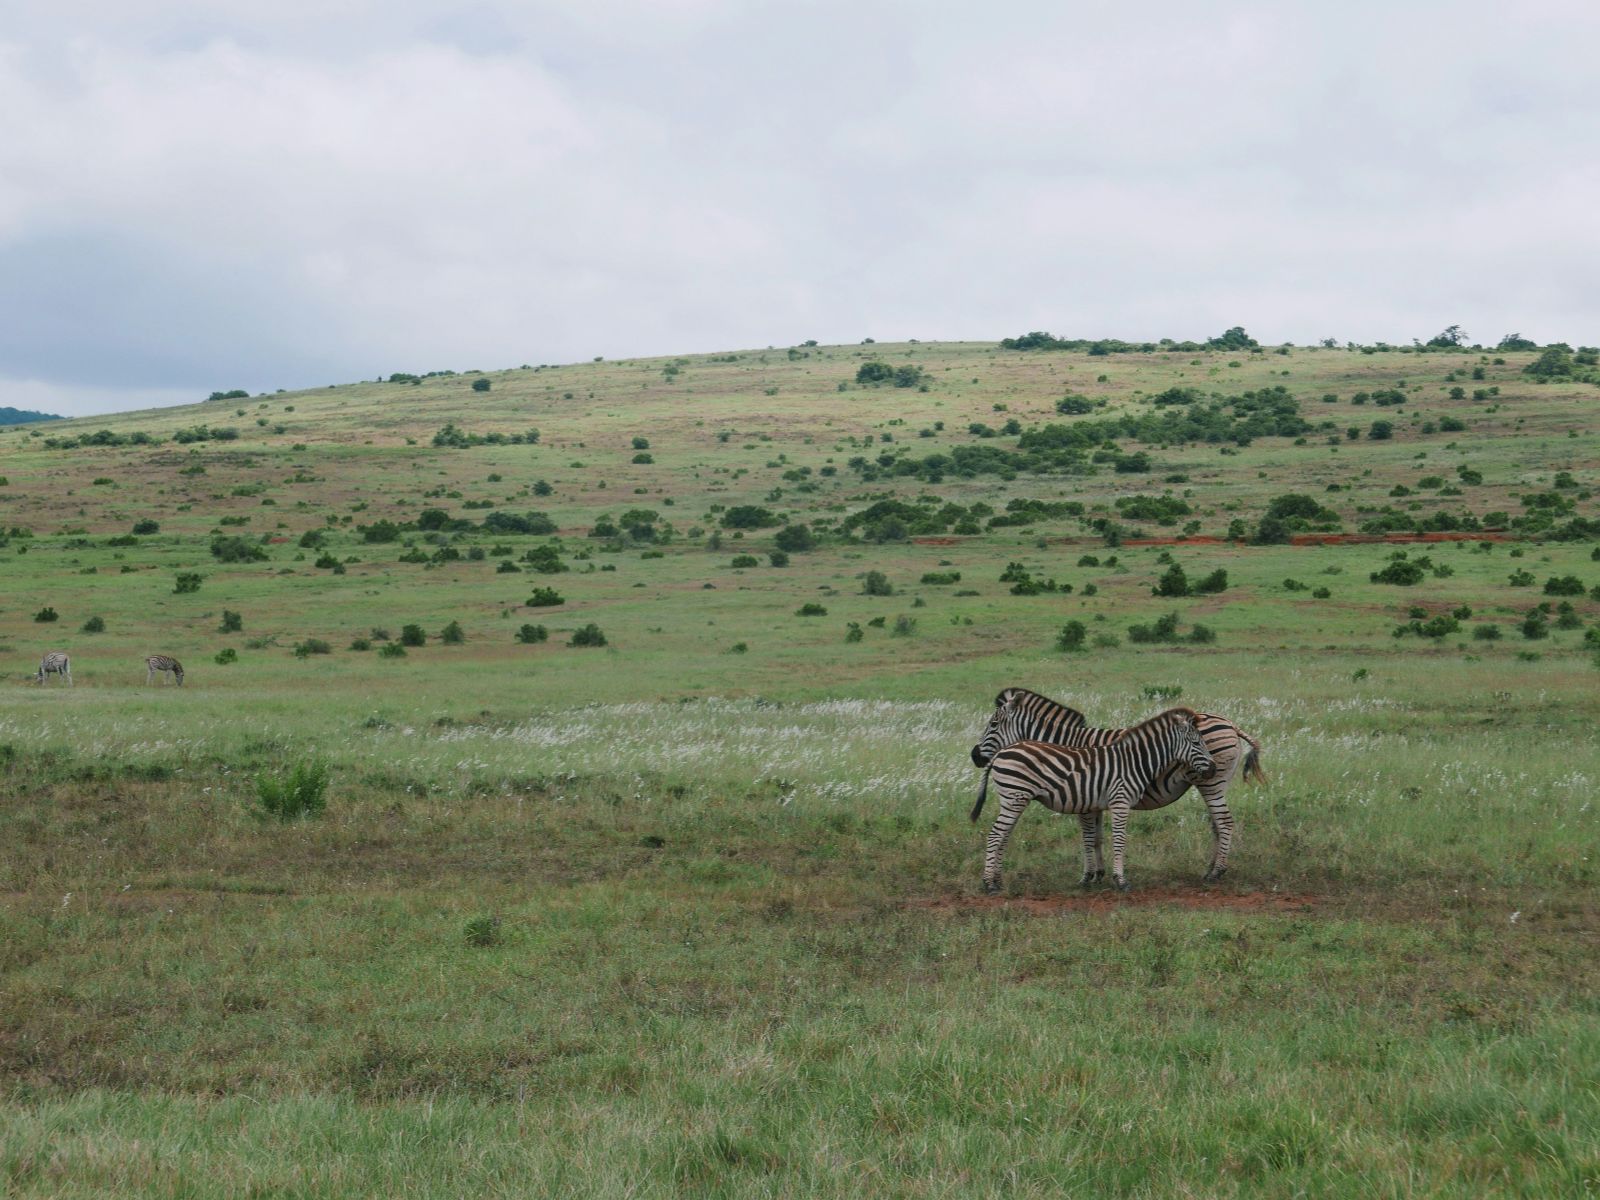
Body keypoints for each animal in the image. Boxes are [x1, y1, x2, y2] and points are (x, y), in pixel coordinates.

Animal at [970, 687, 1265, 883]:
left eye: (993, 724)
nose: (975, 756)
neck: (1065, 744)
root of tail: (1230, 723)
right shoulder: (1093, 796)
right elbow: (1097, 837)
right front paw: (1099, 873)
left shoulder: (1084, 797)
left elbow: (1089, 837)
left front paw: (1090, 875)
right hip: (1215, 782)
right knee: (1218, 825)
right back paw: (1211, 868)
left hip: (1211, 781)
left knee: (1224, 823)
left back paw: (1216, 872)